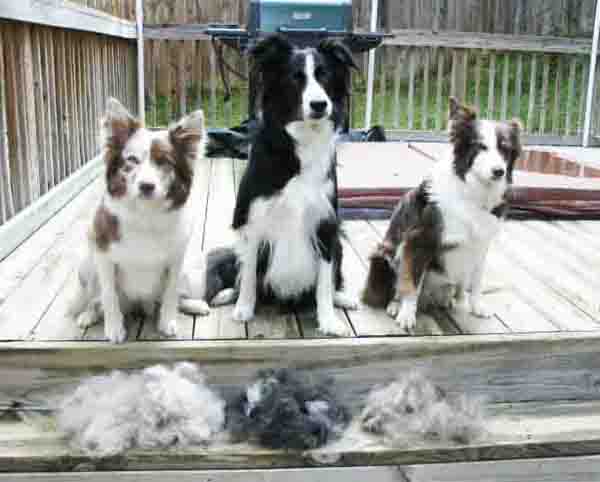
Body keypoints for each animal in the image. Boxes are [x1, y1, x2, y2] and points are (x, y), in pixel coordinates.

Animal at [67, 99, 207, 342]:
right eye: (132, 160)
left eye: (164, 162)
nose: (146, 186)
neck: (145, 214)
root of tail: (140, 306)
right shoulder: (102, 255)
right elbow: (109, 296)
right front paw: (114, 329)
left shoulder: (177, 258)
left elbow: (171, 293)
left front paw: (167, 321)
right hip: (86, 265)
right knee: (93, 299)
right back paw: (88, 315)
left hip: (188, 270)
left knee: (175, 295)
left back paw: (192, 305)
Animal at [360, 96, 520, 334]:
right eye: (480, 146)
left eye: (505, 149)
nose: (499, 171)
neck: (472, 193)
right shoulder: (419, 240)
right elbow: (412, 281)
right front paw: (407, 315)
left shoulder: (481, 244)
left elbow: (477, 280)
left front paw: (477, 306)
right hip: (385, 254)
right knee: (398, 286)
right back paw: (395, 305)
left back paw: (449, 299)